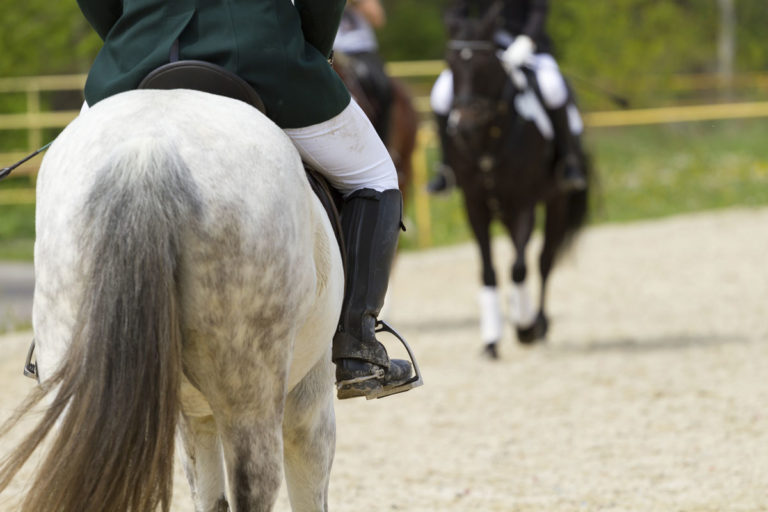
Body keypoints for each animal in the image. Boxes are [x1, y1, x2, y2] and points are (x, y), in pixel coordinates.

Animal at [0, 88, 344, 511]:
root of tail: (149, 151)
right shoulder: (310, 403)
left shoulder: (195, 415)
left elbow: (208, 494)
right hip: (250, 390)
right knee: (255, 487)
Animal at [443, 5, 589, 357]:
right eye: (450, 63)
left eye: (485, 65)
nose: (464, 128)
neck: (486, 142)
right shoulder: (475, 204)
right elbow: (488, 270)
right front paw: (491, 339)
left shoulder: (524, 202)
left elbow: (520, 267)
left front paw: (524, 330)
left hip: (557, 201)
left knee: (544, 260)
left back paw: (537, 322)